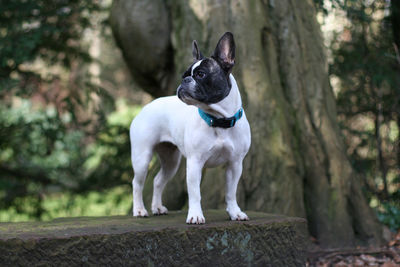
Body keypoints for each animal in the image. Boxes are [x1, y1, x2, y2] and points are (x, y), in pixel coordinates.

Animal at [130, 31, 250, 224]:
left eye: (201, 74)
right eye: (184, 75)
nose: (185, 80)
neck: (219, 119)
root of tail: (146, 107)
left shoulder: (235, 164)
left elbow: (231, 192)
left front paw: (235, 212)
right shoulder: (195, 163)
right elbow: (195, 193)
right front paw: (195, 215)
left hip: (171, 160)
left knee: (158, 180)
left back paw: (157, 207)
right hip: (142, 156)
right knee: (137, 183)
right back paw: (140, 210)